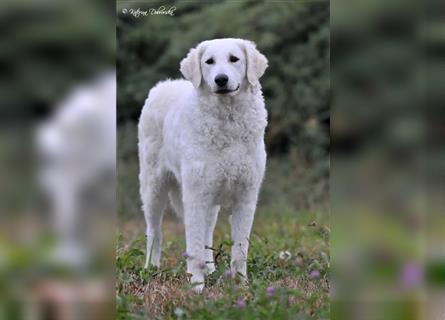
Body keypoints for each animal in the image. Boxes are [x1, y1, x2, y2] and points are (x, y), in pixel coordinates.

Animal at [137, 38, 266, 292]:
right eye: (209, 62)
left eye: (234, 59)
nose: (221, 79)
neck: (228, 120)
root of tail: (161, 86)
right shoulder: (195, 195)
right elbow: (194, 247)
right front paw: (196, 286)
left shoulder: (246, 197)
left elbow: (239, 250)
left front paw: (241, 285)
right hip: (154, 189)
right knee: (154, 232)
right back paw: (150, 269)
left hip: (210, 199)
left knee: (206, 233)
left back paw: (211, 269)